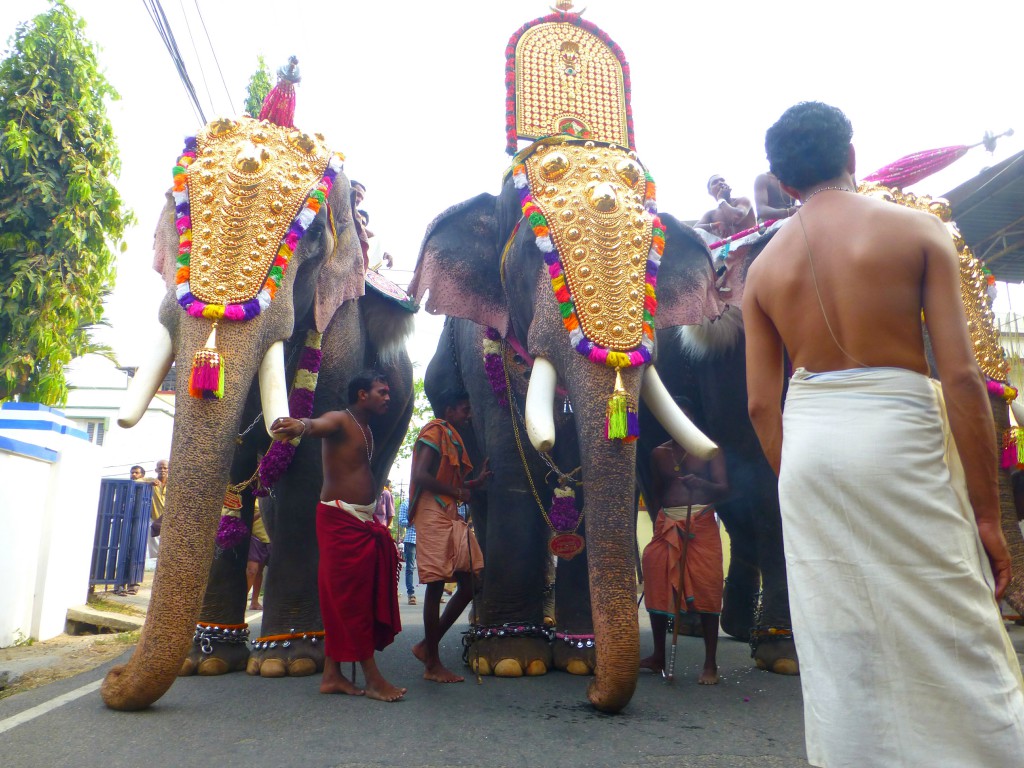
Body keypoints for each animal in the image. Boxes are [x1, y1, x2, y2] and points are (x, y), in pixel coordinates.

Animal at [98, 112, 411, 708]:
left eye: (306, 238)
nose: (112, 679)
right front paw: (206, 660)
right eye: (175, 211)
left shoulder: (339, 333)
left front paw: (287, 662)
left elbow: (306, 472)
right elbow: (236, 468)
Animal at [407, 159, 720, 712]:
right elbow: (511, 468)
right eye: (538, 252)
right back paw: (485, 631)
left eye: (653, 260)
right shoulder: (482, 347)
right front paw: (510, 659)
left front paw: (581, 658)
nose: (596, 697)